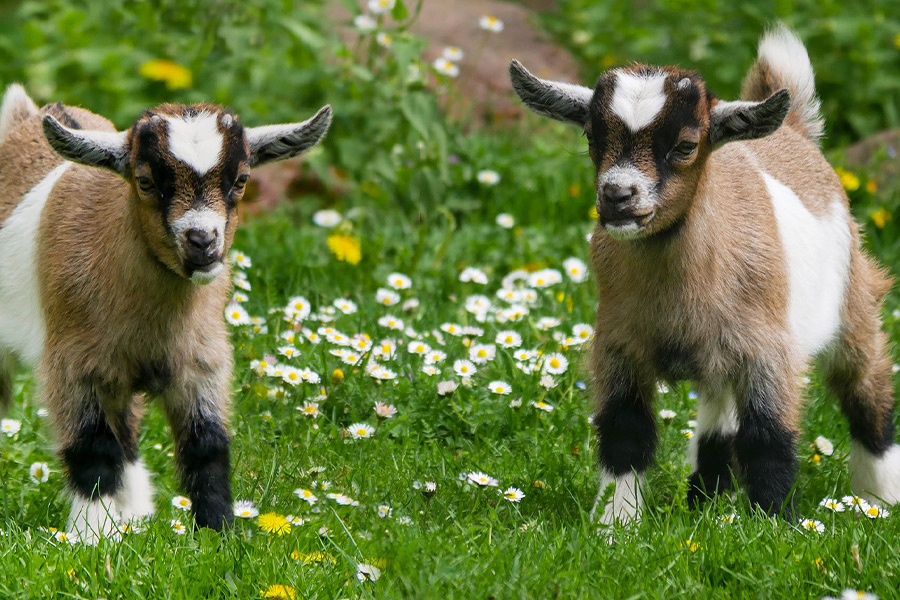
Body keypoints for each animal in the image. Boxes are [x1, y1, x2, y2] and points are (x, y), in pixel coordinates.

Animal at [0, 84, 331, 542]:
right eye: (145, 181)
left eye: (242, 180)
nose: (202, 241)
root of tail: (28, 115)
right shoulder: (74, 364)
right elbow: (92, 448)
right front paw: (89, 538)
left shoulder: (201, 361)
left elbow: (206, 446)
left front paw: (218, 534)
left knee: (128, 431)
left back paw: (135, 513)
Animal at [510, 25, 897, 523]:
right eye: (592, 138)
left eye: (685, 146)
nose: (617, 196)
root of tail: (794, 132)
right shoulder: (618, 343)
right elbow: (625, 432)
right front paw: (615, 523)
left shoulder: (768, 350)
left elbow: (768, 437)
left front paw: (777, 524)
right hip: (720, 356)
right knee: (719, 416)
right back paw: (708, 500)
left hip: (853, 303)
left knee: (866, 388)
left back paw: (878, 500)